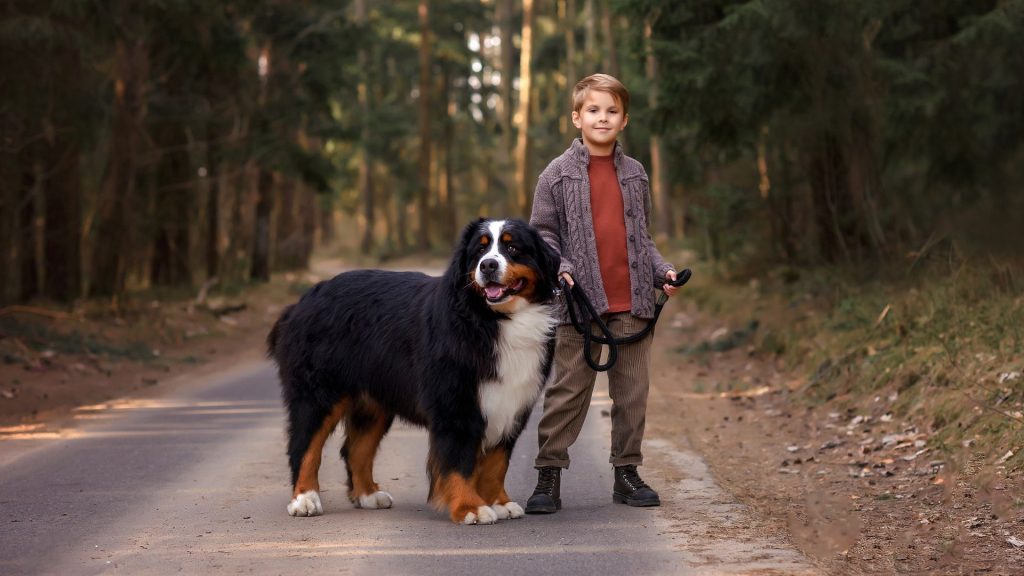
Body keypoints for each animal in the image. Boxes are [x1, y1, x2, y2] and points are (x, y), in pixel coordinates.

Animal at [268, 217, 561, 522]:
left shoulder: (510, 402)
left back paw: (368, 495)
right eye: (479, 251)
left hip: (373, 401)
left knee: (356, 448)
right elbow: (459, 460)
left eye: (512, 247)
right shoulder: (455, 403)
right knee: (304, 446)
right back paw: (304, 499)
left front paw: (499, 502)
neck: (492, 320)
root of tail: (304, 300)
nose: (488, 265)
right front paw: (470, 507)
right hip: (318, 393)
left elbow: (496, 461)